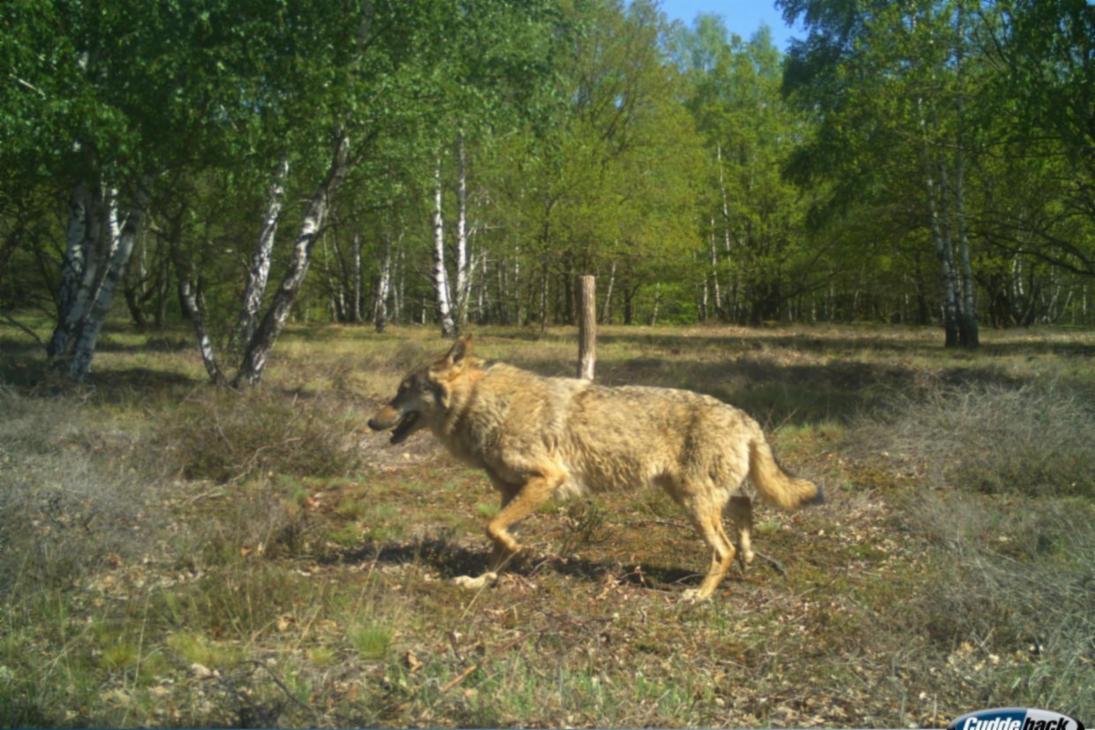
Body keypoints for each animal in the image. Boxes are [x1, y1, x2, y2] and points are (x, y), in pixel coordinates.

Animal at [370, 339, 823, 604]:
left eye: (404, 390)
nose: (371, 422)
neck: (484, 404)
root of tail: (745, 416)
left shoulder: (545, 479)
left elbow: (493, 530)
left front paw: (514, 553)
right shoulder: (511, 491)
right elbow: (495, 539)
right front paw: (483, 581)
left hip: (694, 503)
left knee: (722, 548)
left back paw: (699, 594)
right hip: (692, 495)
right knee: (746, 505)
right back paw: (747, 555)